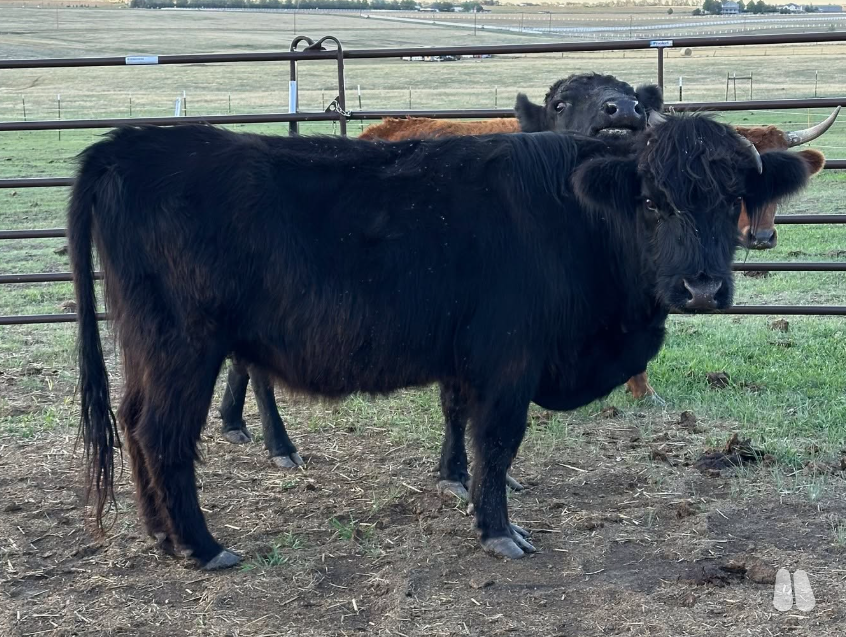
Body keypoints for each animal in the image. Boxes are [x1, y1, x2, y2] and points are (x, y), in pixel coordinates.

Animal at [69, 114, 815, 568]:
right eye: (654, 202)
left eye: (733, 199)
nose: (701, 287)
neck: (571, 213)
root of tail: (127, 145)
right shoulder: (509, 358)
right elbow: (500, 437)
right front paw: (498, 528)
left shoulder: (465, 356)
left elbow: (458, 417)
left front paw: (457, 481)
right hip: (185, 345)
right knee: (163, 433)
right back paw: (201, 545)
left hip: (150, 345)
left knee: (133, 422)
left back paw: (161, 535)